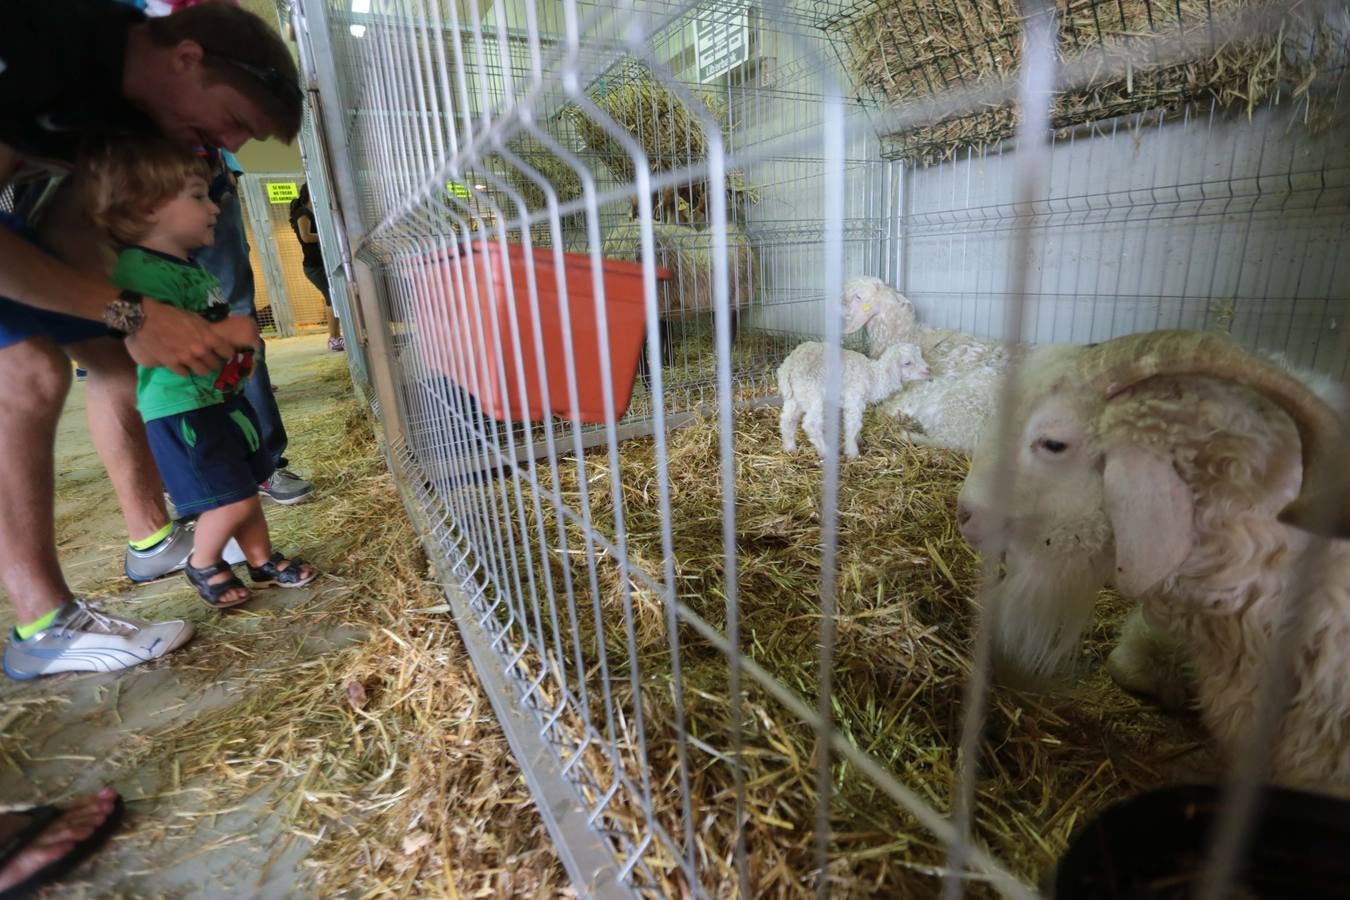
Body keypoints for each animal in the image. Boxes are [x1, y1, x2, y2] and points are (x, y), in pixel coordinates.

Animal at [777, 341, 934, 461]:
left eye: (920, 356)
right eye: (907, 363)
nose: (929, 370)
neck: (873, 376)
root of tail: (789, 365)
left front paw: (858, 440)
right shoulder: (854, 399)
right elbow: (853, 425)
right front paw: (853, 452)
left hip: (795, 396)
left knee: (787, 420)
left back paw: (790, 448)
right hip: (813, 395)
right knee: (811, 424)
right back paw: (825, 451)